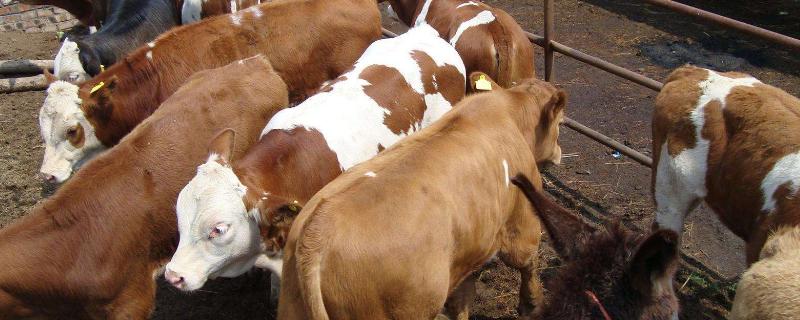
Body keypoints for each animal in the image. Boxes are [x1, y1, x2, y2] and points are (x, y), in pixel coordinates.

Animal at [278, 73, 564, 320]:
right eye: (560, 123)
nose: (559, 152)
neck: (509, 114)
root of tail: (316, 233)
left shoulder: (468, 249)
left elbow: (461, 300)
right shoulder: (522, 221)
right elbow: (528, 262)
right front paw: (532, 304)